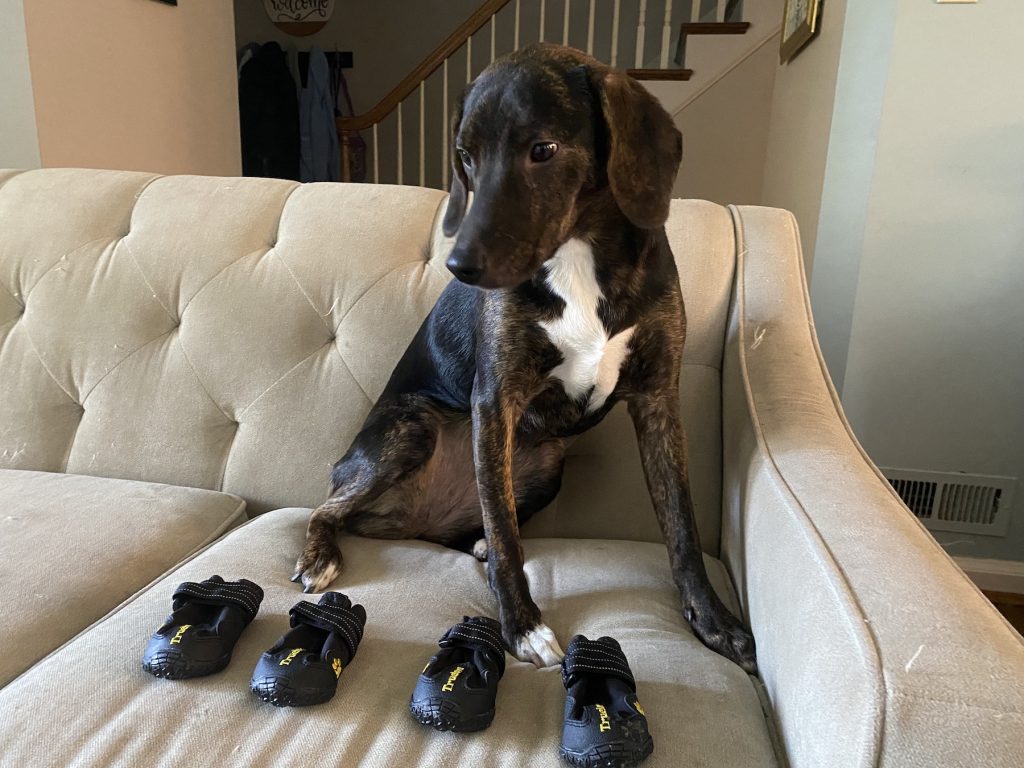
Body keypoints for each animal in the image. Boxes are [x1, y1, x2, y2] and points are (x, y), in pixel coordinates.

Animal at [292, 41, 757, 671]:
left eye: (543, 149)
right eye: (466, 156)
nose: (459, 266)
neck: (579, 254)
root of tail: (415, 521)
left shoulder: (659, 399)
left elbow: (680, 523)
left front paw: (712, 621)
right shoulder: (496, 401)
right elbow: (507, 531)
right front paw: (522, 625)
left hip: (549, 463)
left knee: (478, 523)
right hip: (411, 427)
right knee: (328, 506)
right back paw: (320, 555)